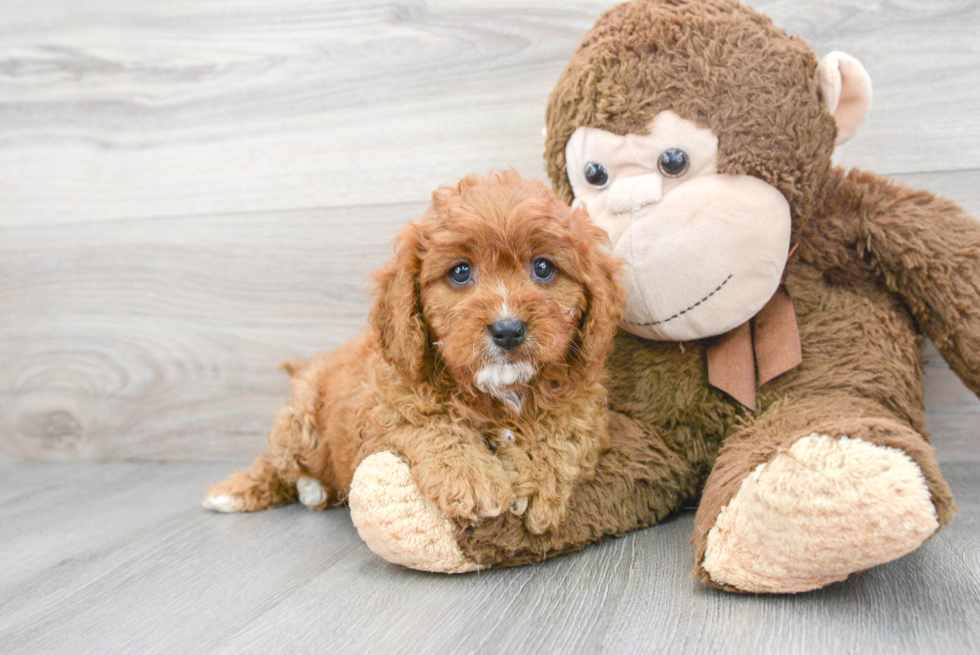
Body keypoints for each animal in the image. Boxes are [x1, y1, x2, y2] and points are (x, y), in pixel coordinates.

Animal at [203, 172, 624, 536]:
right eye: (460, 272)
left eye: (543, 267)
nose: (507, 330)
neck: (500, 390)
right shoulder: (384, 408)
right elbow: (433, 426)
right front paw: (472, 478)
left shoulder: (582, 400)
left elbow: (563, 429)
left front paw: (535, 476)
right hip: (299, 422)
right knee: (276, 464)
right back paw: (236, 492)